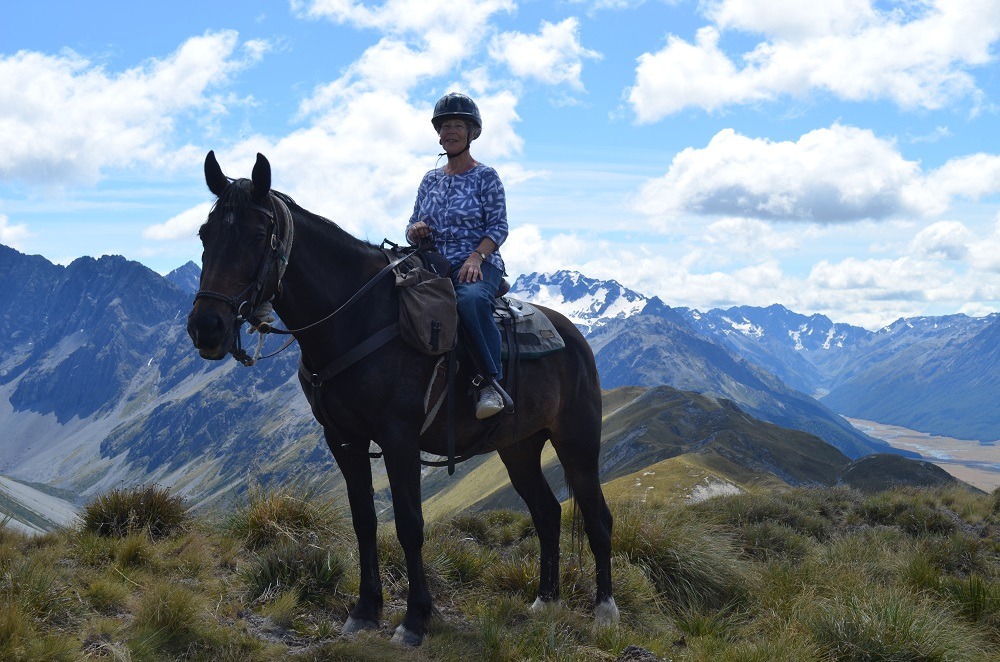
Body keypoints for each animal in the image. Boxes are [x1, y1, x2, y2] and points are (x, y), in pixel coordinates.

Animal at [184, 152, 612, 648]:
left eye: (257, 235)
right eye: (205, 234)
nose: (206, 327)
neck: (357, 319)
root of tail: (574, 337)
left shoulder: (399, 437)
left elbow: (409, 524)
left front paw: (414, 619)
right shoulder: (344, 439)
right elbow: (365, 521)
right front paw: (365, 610)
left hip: (577, 441)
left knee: (597, 516)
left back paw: (605, 610)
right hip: (518, 446)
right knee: (546, 513)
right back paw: (546, 601)